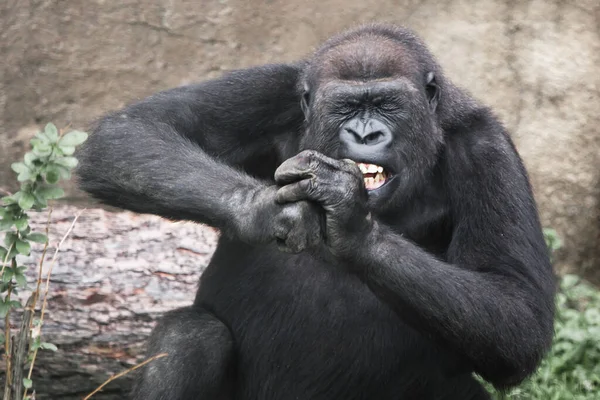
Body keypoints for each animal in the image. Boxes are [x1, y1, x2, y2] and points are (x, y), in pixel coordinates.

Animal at [76, 25, 556, 400]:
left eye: (388, 105)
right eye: (346, 107)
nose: (365, 134)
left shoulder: (487, 149)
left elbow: (516, 310)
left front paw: (353, 225)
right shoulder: (274, 87)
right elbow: (132, 131)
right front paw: (266, 211)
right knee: (191, 338)